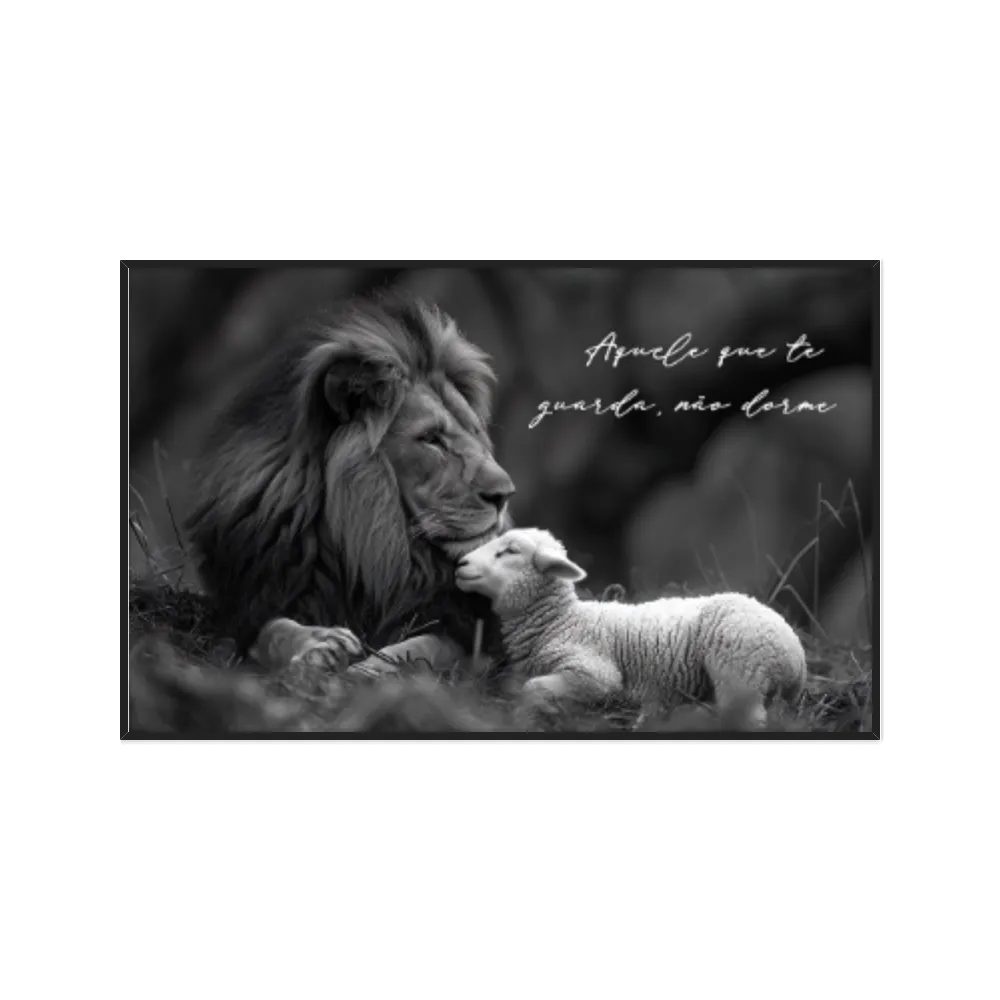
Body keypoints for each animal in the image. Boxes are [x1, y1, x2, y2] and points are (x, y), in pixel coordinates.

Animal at [185, 294, 515, 678]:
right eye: (431, 438)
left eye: (475, 432)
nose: (504, 494)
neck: (373, 548)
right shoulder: (258, 602)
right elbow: (275, 630)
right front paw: (320, 646)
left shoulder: (476, 633)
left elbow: (424, 647)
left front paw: (369, 670)